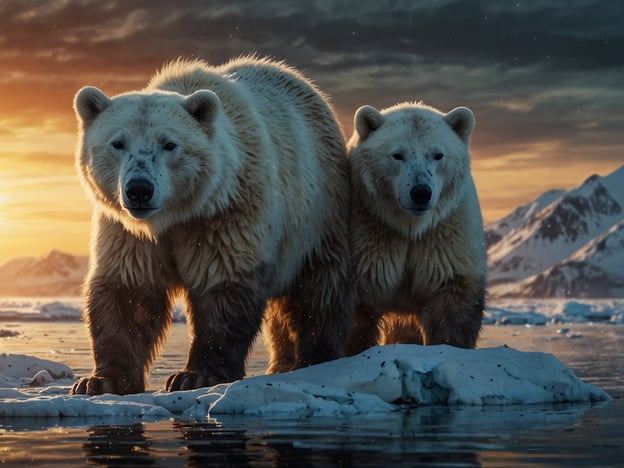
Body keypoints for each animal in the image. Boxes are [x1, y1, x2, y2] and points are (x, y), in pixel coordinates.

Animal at [70, 55, 354, 394]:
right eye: (117, 143)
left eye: (169, 144)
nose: (139, 189)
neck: (176, 214)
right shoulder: (129, 232)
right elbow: (129, 291)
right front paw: (101, 381)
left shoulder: (225, 215)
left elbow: (223, 282)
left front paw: (195, 375)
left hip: (318, 212)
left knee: (320, 289)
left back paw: (315, 359)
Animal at [346, 100, 488, 352]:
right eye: (397, 155)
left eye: (438, 154)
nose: (421, 192)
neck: (409, 225)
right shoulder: (367, 232)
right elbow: (357, 317)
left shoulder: (445, 234)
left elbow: (452, 306)